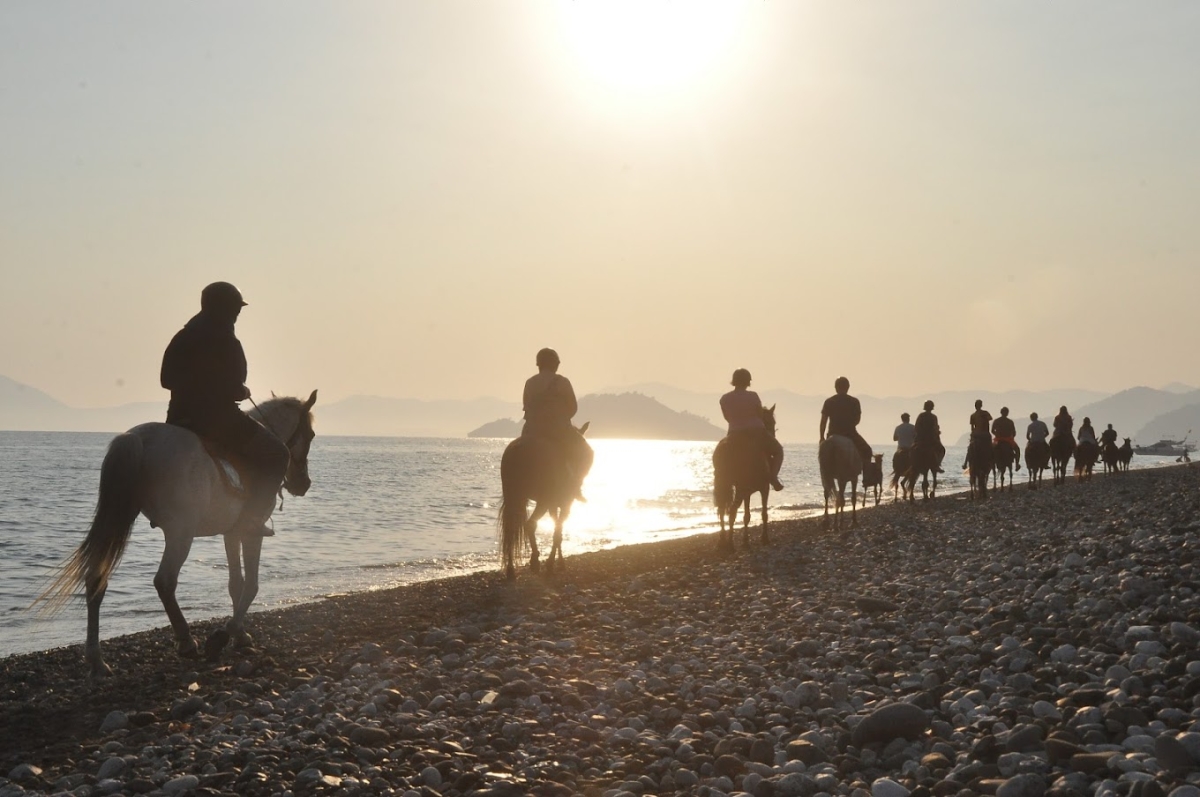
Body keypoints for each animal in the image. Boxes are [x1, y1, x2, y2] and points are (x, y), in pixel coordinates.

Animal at [40, 391, 316, 676]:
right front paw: (226, 633)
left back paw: (97, 659)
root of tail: (139, 438)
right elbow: (251, 584)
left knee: (96, 579)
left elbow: (235, 584)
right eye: (310, 435)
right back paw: (185, 640)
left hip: (119, 519)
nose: (303, 483)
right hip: (180, 532)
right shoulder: (252, 531)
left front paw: (239, 634)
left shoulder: (232, 532)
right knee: (164, 581)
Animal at [496, 422, 590, 578]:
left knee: (513, 528)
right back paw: (535, 561)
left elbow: (557, 529)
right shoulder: (565, 504)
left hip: (515, 496)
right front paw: (555, 563)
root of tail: (519, 449)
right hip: (543, 500)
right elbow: (558, 532)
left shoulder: (554, 505)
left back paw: (512, 569)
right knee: (530, 524)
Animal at [710, 408, 777, 552]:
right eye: (772, 422)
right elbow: (763, 513)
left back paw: (722, 541)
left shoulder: (748, 492)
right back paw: (730, 543)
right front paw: (764, 538)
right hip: (740, 488)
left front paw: (746, 541)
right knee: (732, 510)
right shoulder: (764, 488)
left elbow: (747, 516)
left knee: (722, 509)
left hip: (724, 484)